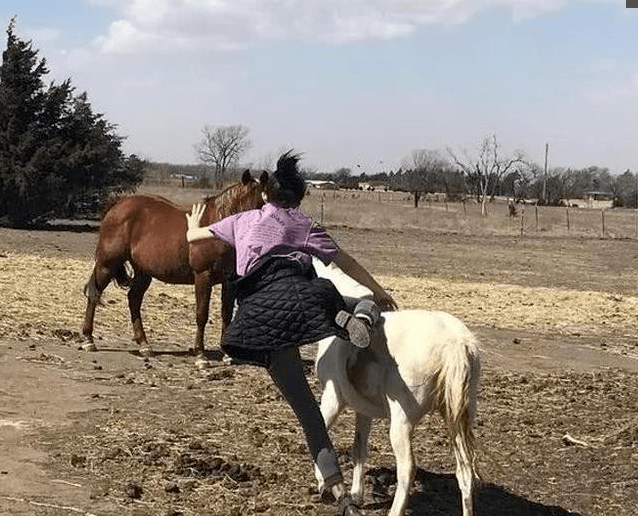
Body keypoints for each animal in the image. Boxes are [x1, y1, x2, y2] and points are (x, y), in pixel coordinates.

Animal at [82, 169, 268, 358]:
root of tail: (118, 204)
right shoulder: (203, 276)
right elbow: (202, 314)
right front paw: (200, 353)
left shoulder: (229, 280)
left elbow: (227, 314)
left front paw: (227, 354)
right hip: (107, 265)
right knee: (94, 294)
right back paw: (89, 339)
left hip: (143, 272)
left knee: (133, 299)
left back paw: (144, 344)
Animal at [312, 260, 482, 516]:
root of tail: (455, 343)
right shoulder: (363, 411)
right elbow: (359, 449)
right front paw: (356, 495)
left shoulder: (332, 400)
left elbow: (319, 434)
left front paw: (324, 484)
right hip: (457, 420)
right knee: (465, 473)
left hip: (401, 424)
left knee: (408, 469)